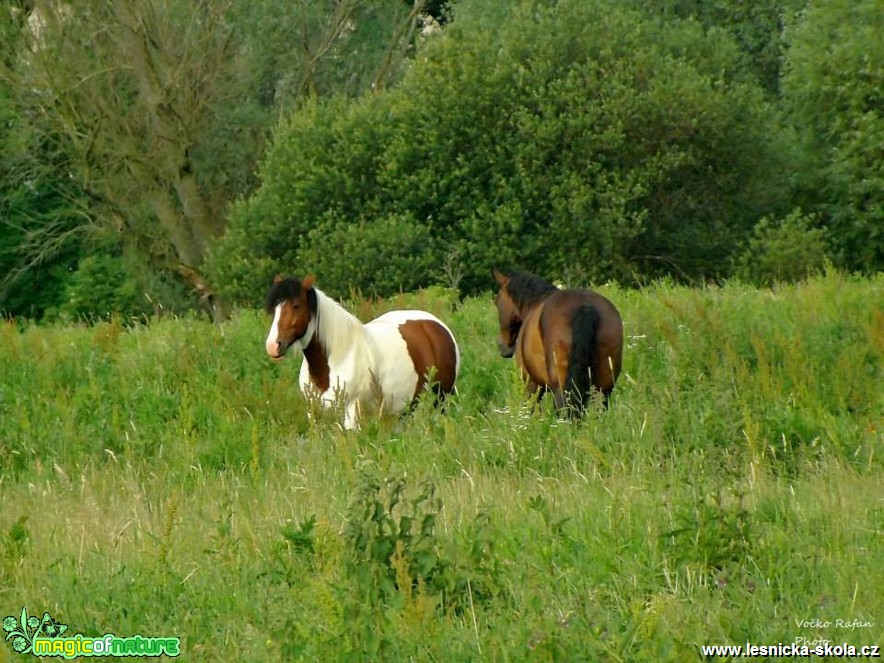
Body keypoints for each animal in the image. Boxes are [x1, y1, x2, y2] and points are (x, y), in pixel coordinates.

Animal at [264, 276, 460, 430]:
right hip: (405, 409)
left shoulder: (352, 415)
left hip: (441, 399)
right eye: (275, 309)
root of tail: (435, 325)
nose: (273, 346)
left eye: (296, 305)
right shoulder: (315, 415)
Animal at [494, 266, 624, 412]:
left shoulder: (531, 383)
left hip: (560, 387)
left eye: (497, 301)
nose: (502, 346)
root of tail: (584, 307)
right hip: (603, 388)